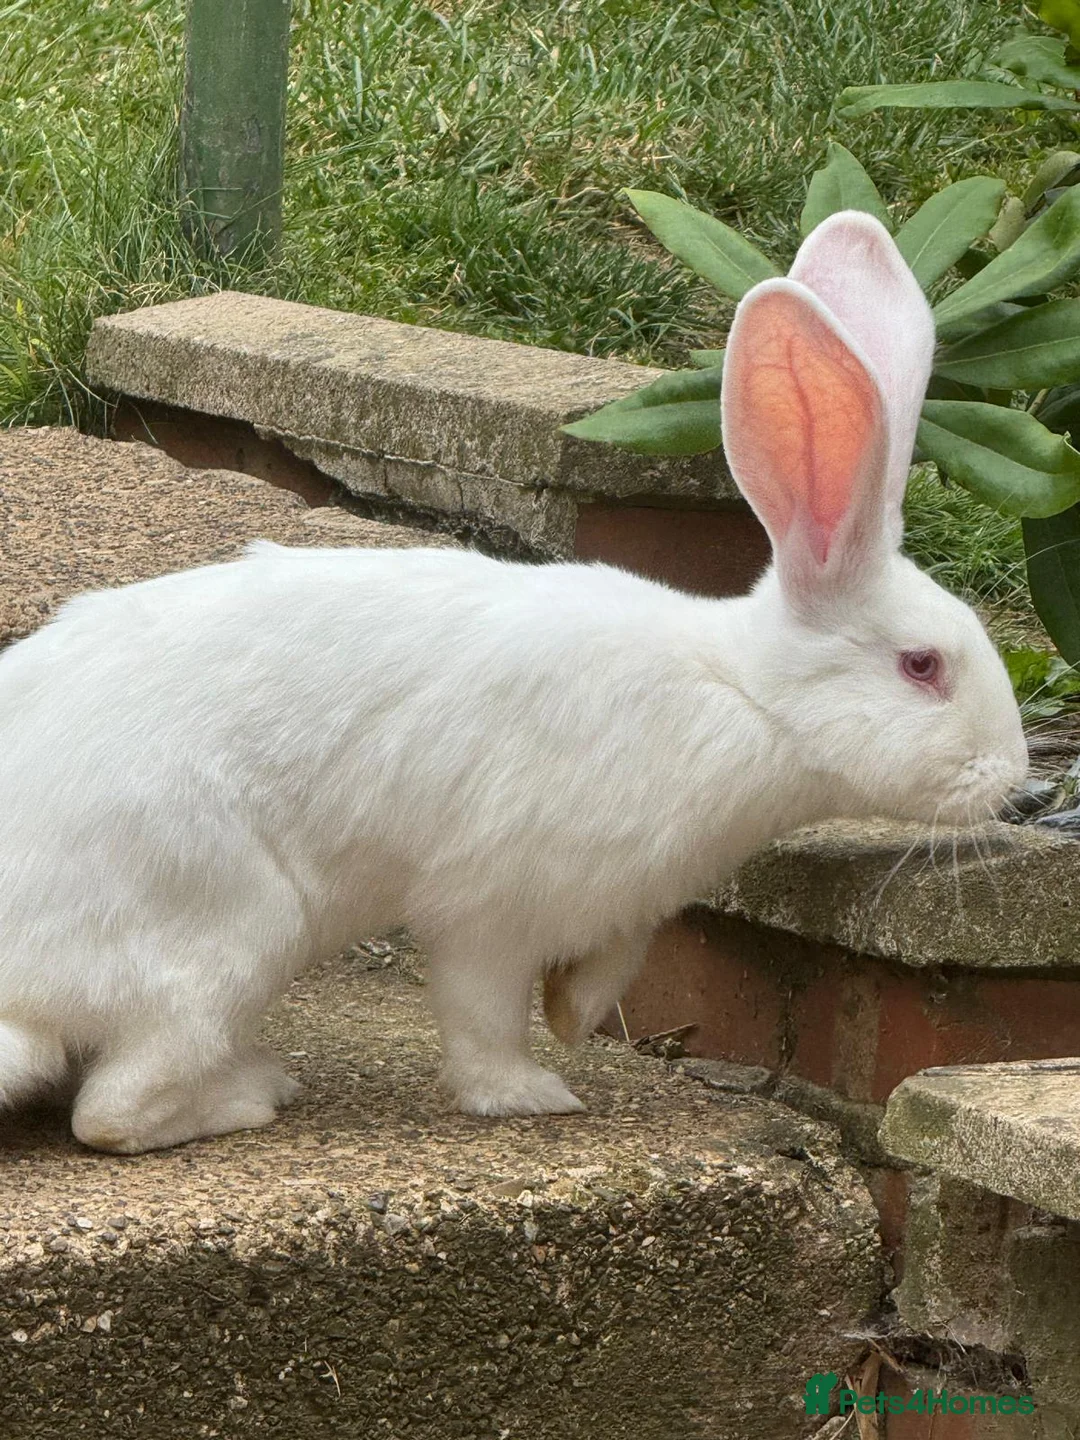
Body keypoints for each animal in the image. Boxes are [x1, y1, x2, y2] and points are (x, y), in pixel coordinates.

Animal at [0, 212, 1027, 1153]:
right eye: (923, 665)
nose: (1015, 781)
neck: (743, 693)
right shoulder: (493, 903)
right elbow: (484, 1011)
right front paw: (532, 1095)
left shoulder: (629, 908)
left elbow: (604, 972)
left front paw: (573, 1019)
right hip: (235, 934)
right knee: (111, 1113)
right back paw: (248, 1099)